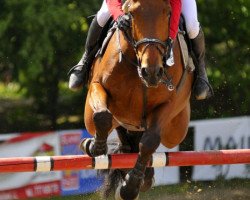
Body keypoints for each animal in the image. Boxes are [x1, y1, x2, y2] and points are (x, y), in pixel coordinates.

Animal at [80, 0, 193, 198]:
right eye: (132, 14)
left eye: (168, 13)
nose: (152, 72)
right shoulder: (97, 85)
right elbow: (101, 116)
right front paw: (94, 146)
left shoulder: (168, 104)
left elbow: (149, 141)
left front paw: (130, 187)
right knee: (121, 137)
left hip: (176, 130)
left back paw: (143, 178)